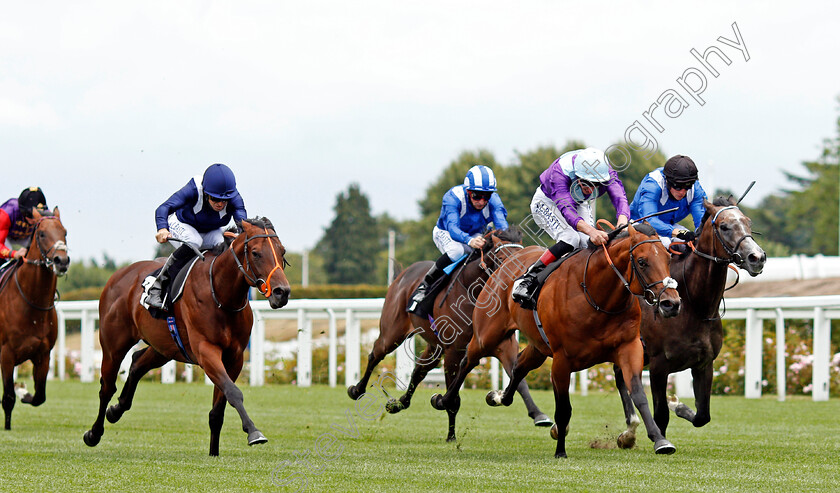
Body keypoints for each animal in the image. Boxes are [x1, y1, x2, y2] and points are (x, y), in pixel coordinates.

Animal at [0, 209, 69, 428]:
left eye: (65, 232)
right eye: (42, 234)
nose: (61, 261)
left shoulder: (43, 355)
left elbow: (39, 396)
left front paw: (23, 390)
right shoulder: (6, 354)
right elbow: (8, 398)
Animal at [83, 217, 290, 456]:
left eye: (282, 251)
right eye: (255, 253)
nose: (282, 292)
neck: (220, 294)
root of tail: (119, 274)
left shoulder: (235, 357)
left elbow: (218, 410)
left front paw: (213, 453)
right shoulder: (206, 351)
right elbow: (233, 392)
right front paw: (254, 432)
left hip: (165, 347)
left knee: (137, 363)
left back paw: (116, 409)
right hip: (113, 345)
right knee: (107, 387)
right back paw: (93, 433)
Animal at [342, 229, 548, 440]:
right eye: (501, 258)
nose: (517, 280)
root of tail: (403, 274)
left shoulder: (502, 345)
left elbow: (520, 378)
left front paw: (538, 415)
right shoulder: (454, 352)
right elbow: (453, 397)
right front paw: (451, 434)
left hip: (434, 346)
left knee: (419, 370)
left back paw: (398, 403)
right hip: (393, 333)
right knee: (375, 354)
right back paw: (357, 389)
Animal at [434, 223, 684, 458]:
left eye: (668, 257)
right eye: (642, 261)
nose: (671, 303)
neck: (597, 296)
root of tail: (506, 263)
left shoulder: (629, 348)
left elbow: (638, 394)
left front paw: (660, 440)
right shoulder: (562, 360)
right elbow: (564, 409)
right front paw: (560, 450)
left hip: (537, 347)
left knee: (519, 366)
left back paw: (498, 396)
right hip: (487, 335)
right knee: (468, 361)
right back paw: (444, 400)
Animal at [612, 196, 764, 438]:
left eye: (748, 222)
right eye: (724, 226)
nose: (757, 257)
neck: (695, 306)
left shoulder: (704, 364)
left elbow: (703, 415)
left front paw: (679, 405)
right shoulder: (658, 367)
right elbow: (661, 416)